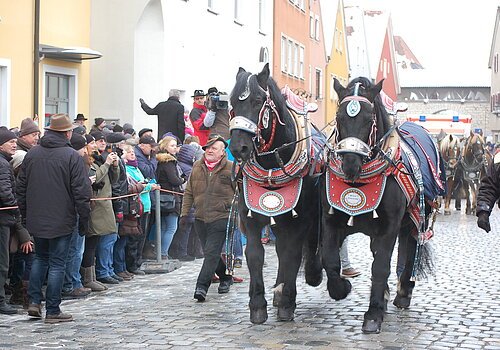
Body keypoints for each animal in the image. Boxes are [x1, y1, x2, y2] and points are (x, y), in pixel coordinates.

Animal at [229, 63, 322, 326]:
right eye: (232, 101)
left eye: (258, 100)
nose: (238, 148)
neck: (273, 163)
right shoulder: (249, 217)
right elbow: (254, 255)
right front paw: (257, 306)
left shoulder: (299, 219)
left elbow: (292, 254)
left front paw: (287, 301)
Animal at [320, 78, 442, 334]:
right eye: (339, 117)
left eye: (369, 119)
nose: (350, 164)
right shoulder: (331, 220)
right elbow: (330, 260)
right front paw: (341, 289)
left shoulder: (390, 226)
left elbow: (381, 266)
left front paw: (373, 313)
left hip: (417, 218)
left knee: (411, 248)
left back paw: (403, 292)